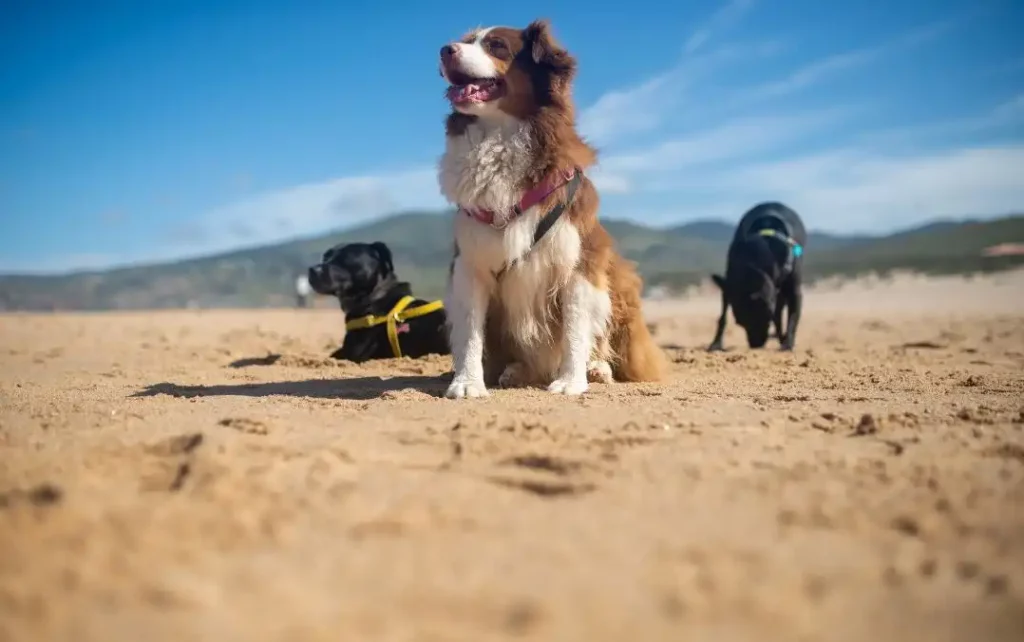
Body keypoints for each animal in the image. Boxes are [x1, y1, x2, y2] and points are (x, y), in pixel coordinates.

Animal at [307, 241, 452, 362]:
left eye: (344, 259)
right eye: (325, 257)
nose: (311, 269)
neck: (374, 296)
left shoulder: (353, 352)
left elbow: (332, 356)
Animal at [438, 18, 663, 397]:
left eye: (496, 46)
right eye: (467, 40)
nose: (444, 50)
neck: (500, 135)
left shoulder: (578, 260)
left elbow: (575, 327)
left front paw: (572, 380)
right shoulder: (469, 264)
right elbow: (469, 332)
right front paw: (467, 382)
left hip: (617, 279)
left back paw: (596, 368)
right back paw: (516, 371)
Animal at [708, 201, 802, 352]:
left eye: (764, 319)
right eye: (741, 323)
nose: (755, 345)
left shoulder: (794, 292)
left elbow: (792, 317)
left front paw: (788, 343)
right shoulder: (728, 287)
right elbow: (722, 318)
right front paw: (716, 343)